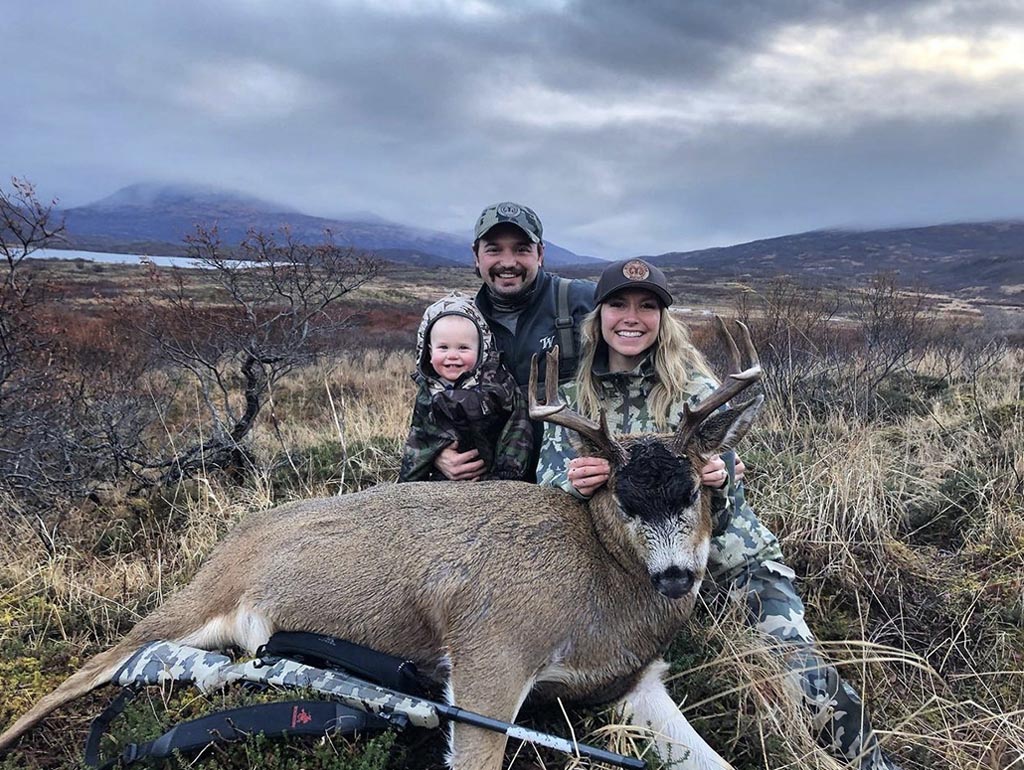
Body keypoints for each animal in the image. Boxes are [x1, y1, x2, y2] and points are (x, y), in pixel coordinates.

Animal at [0, 319, 765, 770]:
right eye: (624, 497)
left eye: (695, 491)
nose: (676, 576)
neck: (602, 586)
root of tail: (236, 535)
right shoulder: (490, 655)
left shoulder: (637, 681)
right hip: (193, 600)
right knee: (87, 670)